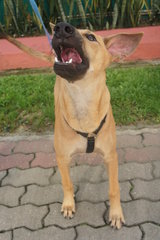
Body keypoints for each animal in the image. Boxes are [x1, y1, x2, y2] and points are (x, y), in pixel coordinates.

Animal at [50, 22, 142, 229]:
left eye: (91, 37)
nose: (61, 27)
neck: (83, 99)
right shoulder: (62, 157)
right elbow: (67, 183)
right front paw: (69, 204)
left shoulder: (111, 156)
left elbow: (114, 189)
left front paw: (115, 214)